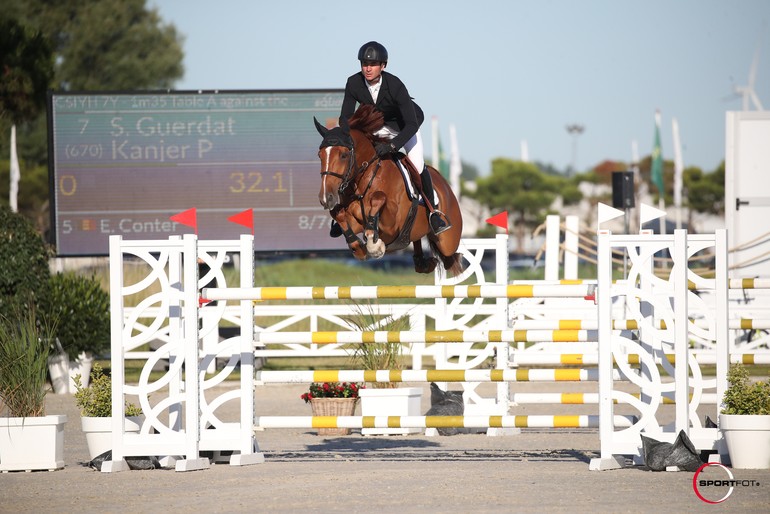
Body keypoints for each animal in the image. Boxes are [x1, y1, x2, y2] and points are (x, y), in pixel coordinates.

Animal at [314, 102, 462, 274]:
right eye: (320, 155)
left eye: (344, 155)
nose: (326, 198)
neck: (363, 183)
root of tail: (445, 185)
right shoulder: (354, 221)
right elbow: (337, 213)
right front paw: (359, 248)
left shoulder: (392, 226)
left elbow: (379, 198)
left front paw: (374, 244)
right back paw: (425, 263)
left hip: (447, 241)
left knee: (451, 255)